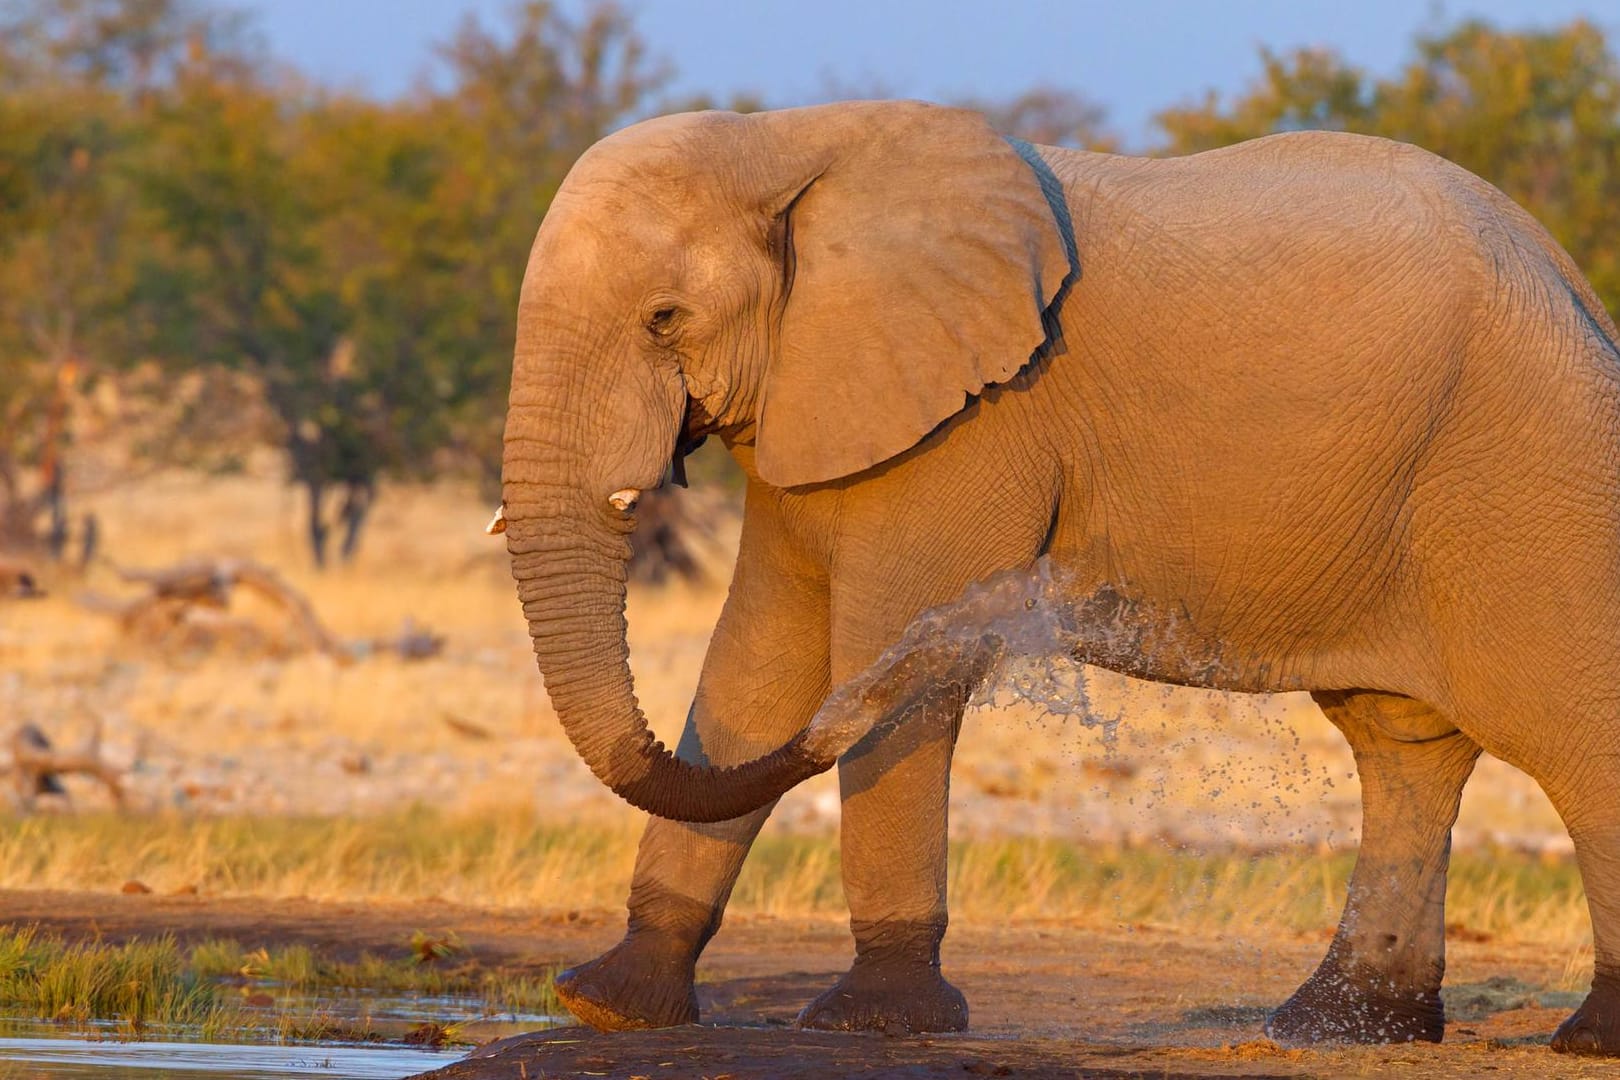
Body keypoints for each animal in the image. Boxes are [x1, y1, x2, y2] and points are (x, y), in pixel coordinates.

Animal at [505, 101, 1620, 1055]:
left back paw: (1583, 1037)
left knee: (1569, 729)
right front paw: (606, 1005)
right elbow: (757, 664)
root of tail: (1572, 282)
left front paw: (872, 1022)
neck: (785, 141)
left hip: (1523, 475)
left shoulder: (973, 422)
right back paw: (1340, 1028)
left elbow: (876, 649)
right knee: (1403, 742)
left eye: (662, 318)